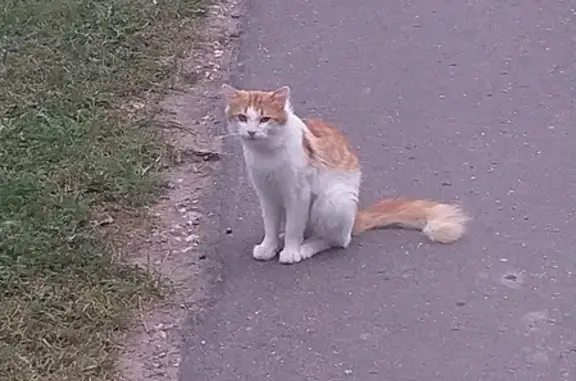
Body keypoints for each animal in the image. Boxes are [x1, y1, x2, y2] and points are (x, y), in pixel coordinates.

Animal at [220, 83, 468, 262]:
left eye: (264, 119)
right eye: (242, 117)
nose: (252, 132)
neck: (266, 154)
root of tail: (355, 218)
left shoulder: (298, 194)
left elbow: (293, 227)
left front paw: (290, 251)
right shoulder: (267, 194)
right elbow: (270, 225)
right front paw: (269, 246)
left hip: (331, 201)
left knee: (336, 240)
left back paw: (306, 247)